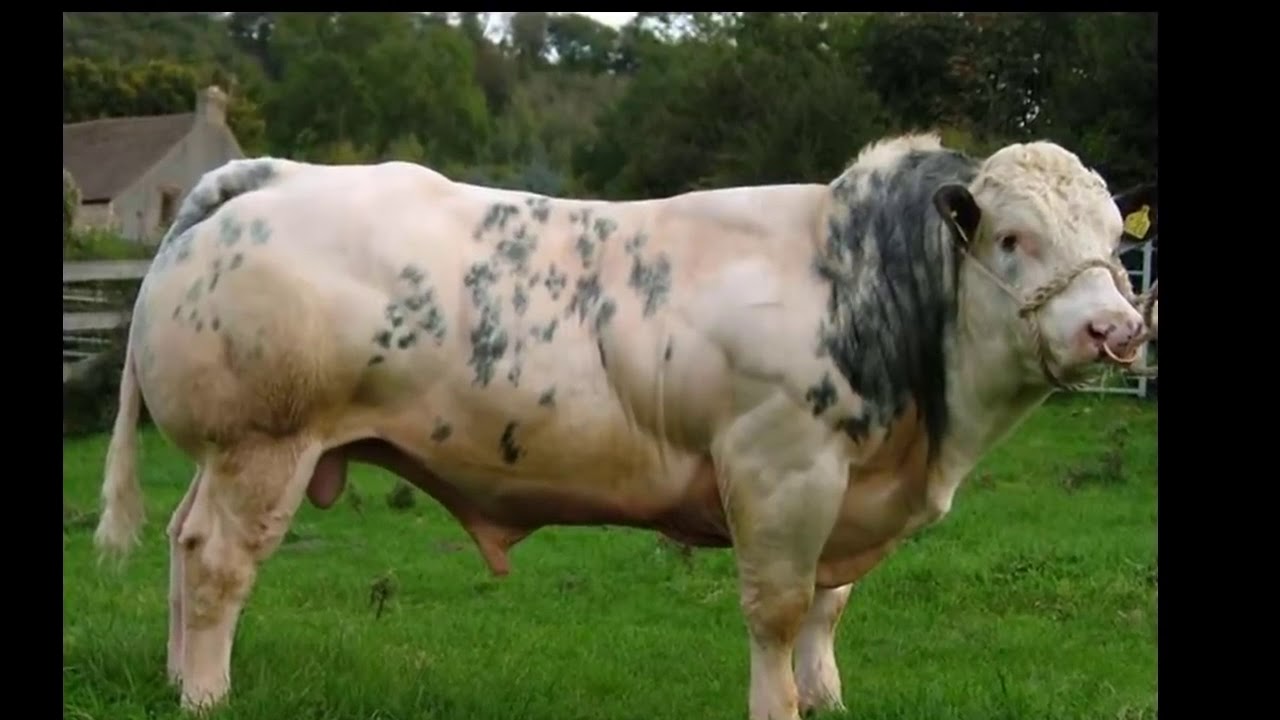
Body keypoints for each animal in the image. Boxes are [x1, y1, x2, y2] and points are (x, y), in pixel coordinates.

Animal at [97, 131, 1162, 712]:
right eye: (1014, 239)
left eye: (1117, 238)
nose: (1115, 330)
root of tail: (270, 178)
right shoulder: (782, 472)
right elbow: (778, 611)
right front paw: (780, 705)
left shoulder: (850, 488)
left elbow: (830, 607)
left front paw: (827, 694)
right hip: (263, 443)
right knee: (217, 561)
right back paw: (207, 693)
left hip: (229, 454)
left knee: (182, 546)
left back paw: (173, 674)